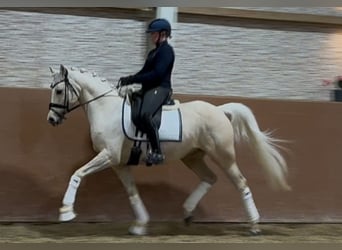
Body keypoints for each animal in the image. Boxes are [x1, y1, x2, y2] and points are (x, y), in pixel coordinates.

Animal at [46, 64, 290, 236]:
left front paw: (66, 212)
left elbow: (77, 173)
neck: (106, 109)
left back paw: (254, 226)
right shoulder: (119, 164)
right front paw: (140, 226)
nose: (51, 119)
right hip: (193, 157)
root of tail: (220, 110)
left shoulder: (108, 156)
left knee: (241, 183)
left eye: (59, 90)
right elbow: (132, 193)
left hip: (224, 156)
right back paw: (188, 213)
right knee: (210, 178)